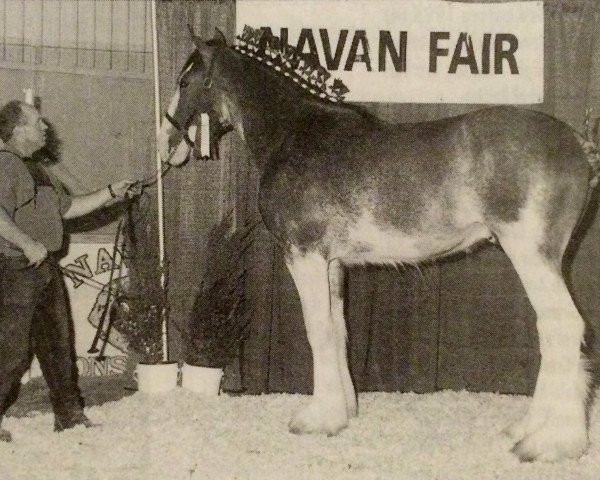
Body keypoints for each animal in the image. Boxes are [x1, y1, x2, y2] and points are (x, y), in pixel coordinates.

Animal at [158, 28, 600, 464]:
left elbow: (317, 330)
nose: (164, 141)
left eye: (184, 82)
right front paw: (343, 410)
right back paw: (530, 429)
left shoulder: (304, 255)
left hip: (531, 255)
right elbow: (338, 329)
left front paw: (317, 420)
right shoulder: (332, 263)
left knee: (563, 327)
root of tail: (578, 145)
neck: (292, 134)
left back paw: (552, 443)